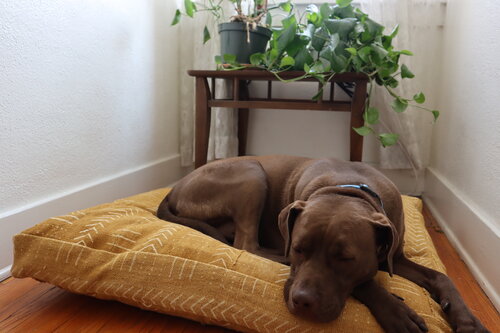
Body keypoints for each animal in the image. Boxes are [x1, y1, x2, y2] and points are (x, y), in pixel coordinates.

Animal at [158, 156, 490, 332]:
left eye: (345, 258)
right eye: (298, 248)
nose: (303, 301)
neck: (347, 189)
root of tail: (173, 189)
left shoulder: (395, 256)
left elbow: (442, 276)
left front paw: (468, 320)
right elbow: (367, 282)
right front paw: (396, 311)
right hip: (251, 173)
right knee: (246, 244)